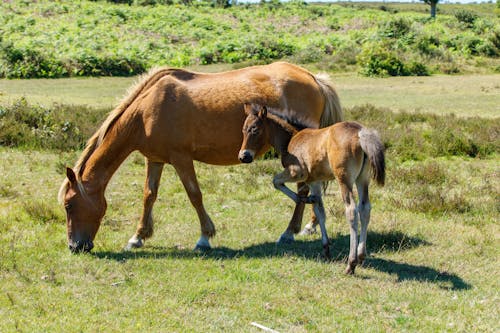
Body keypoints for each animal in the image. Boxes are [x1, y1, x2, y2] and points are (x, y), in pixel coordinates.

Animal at [56, 61, 342, 252]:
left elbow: (194, 195)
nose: (74, 246)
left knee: (303, 189)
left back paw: (289, 232)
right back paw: (309, 226)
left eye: (69, 205)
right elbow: (149, 195)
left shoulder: (181, 159)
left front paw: (205, 237)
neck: (147, 110)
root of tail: (314, 78)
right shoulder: (155, 159)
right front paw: (138, 237)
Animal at [239, 103, 386, 272]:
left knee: (351, 210)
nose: (243, 156)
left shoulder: (298, 172)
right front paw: (326, 249)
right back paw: (361, 256)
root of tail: (361, 133)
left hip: (344, 179)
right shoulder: (314, 181)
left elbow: (276, 181)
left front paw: (304, 199)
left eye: (255, 129)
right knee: (365, 208)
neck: (291, 139)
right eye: (243, 129)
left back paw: (351, 263)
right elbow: (320, 211)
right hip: (363, 179)